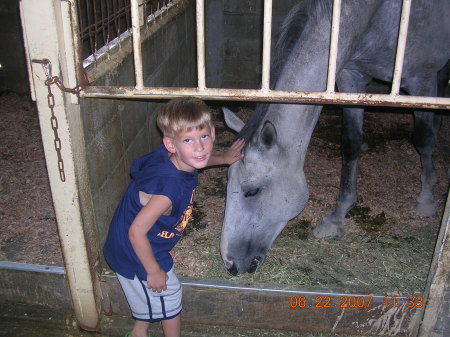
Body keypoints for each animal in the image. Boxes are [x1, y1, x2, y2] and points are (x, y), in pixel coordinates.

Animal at [220, 0, 448, 274]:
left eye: (252, 191)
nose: (230, 264)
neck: (373, 15)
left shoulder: (420, 79)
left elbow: (422, 139)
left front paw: (426, 198)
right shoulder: (351, 78)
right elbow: (351, 144)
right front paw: (338, 216)